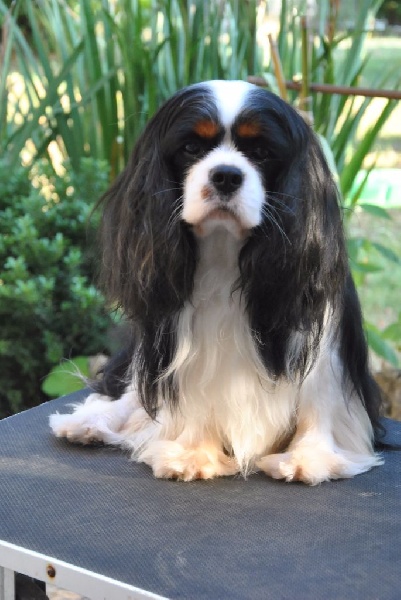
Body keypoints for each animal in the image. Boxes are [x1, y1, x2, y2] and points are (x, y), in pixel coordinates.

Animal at [50, 80, 383, 484]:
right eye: (191, 148)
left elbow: (320, 401)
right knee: (132, 396)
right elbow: (193, 393)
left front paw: (309, 456)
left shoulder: (322, 341)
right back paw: (89, 421)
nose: (226, 175)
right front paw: (194, 453)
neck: (226, 252)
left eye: (261, 152)